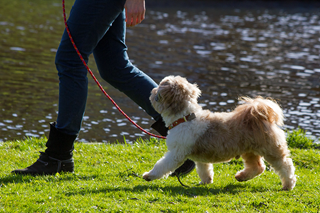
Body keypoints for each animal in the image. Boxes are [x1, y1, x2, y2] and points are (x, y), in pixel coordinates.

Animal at [144, 75, 296, 190]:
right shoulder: (200, 156)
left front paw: (149, 175)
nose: (152, 91)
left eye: (158, 89)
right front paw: (206, 181)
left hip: (270, 149)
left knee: (285, 165)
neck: (184, 118)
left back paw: (288, 185)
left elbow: (162, 165)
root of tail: (259, 116)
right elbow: (204, 169)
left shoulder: (176, 153)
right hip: (250, 151)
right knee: (257, 167)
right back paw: (241, 177)